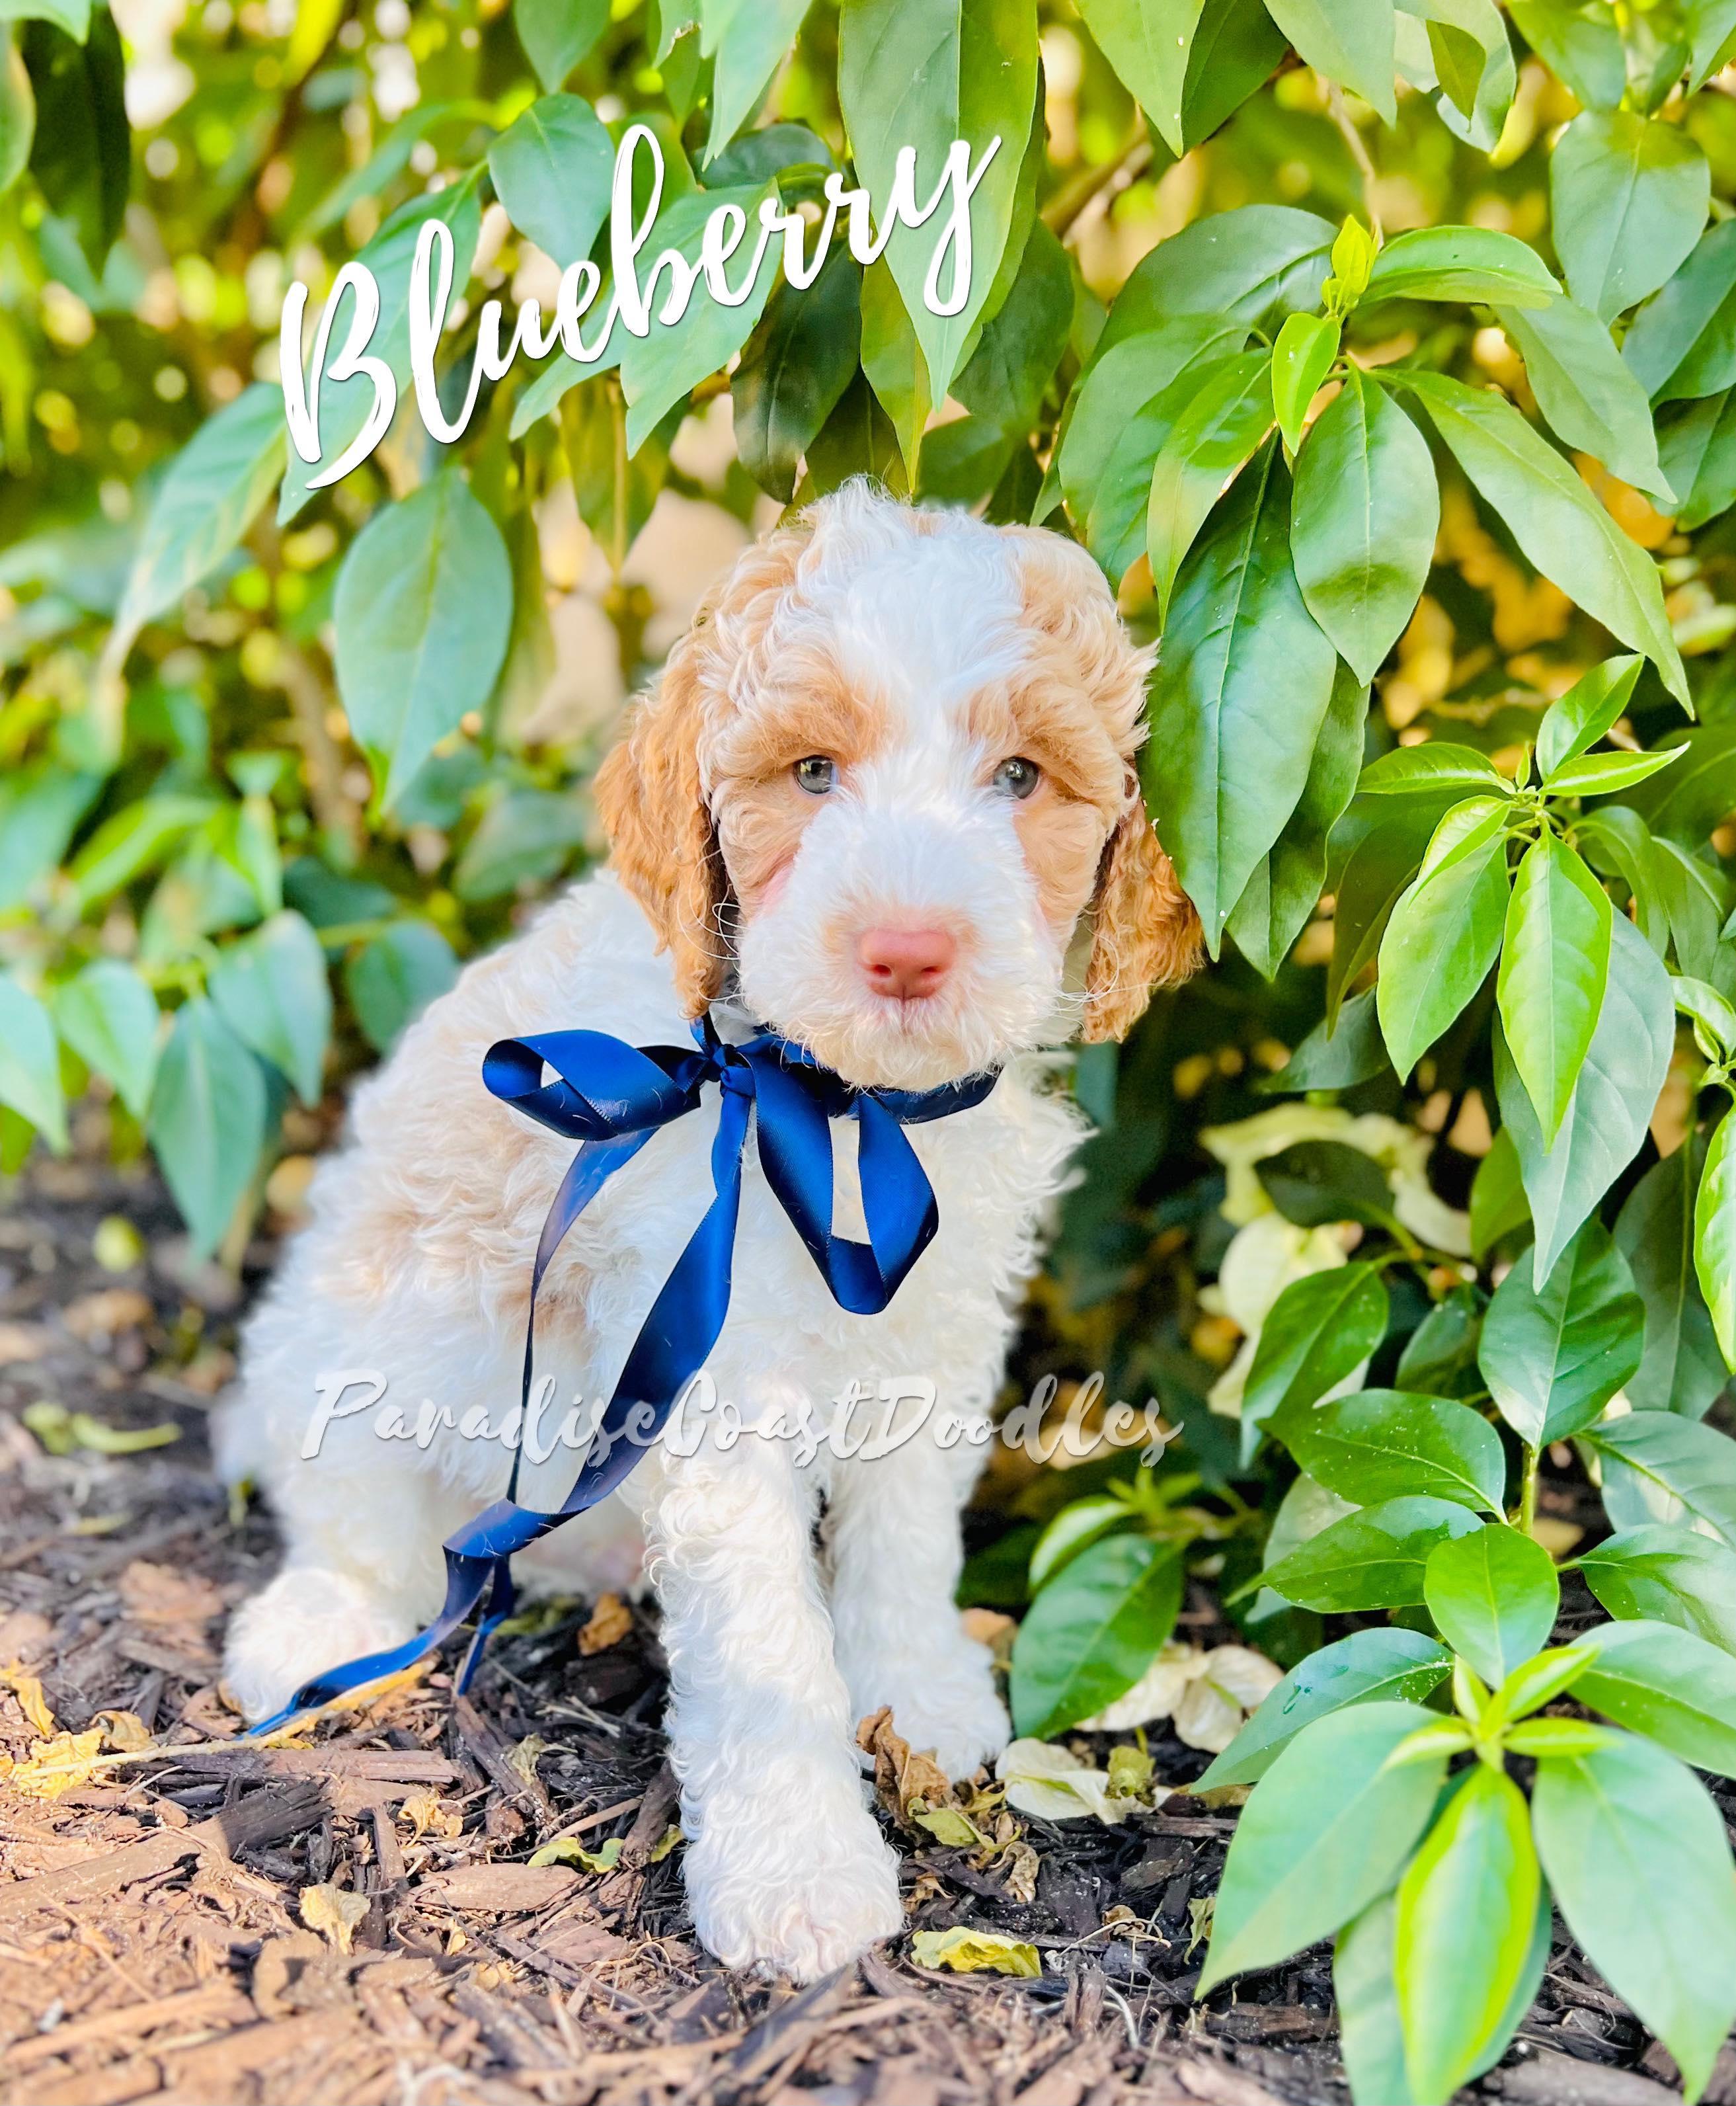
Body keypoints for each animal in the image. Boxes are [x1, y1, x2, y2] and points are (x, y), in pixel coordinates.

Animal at [217, 480, 1201, 1980]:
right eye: (812, 772)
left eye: (1022, 779)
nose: (907, 948)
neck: (832, 1103)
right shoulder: (709, 1370)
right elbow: (762, 1640)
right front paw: (800, 1872)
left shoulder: (936, 1323)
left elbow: (908, 1528)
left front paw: (916, 1691)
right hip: (354, 1332)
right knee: (353, 1515)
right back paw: (316, 1624)